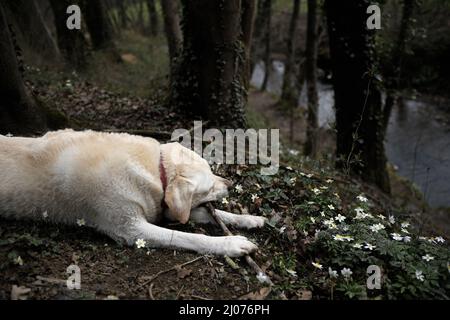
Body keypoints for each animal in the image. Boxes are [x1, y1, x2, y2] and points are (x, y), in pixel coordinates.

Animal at [0, 130, 266, 258]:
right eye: (208, 187)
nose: (229, 183)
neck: (156, 168)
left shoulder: (164, 208)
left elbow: (213, 213)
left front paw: (250, 219)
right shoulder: (131, 229)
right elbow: (188, 237)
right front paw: (232, 243)